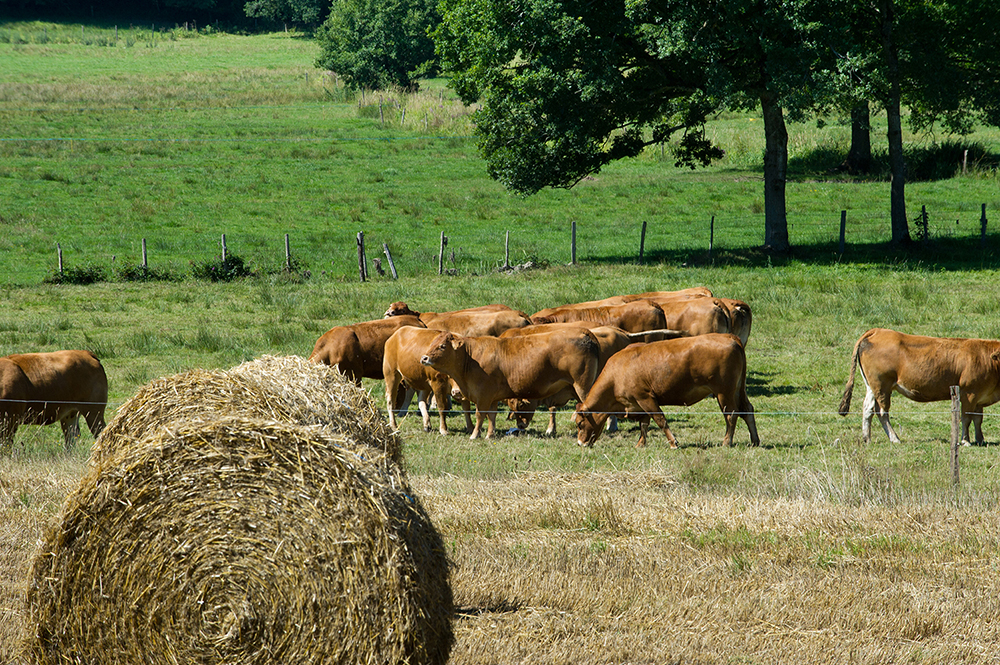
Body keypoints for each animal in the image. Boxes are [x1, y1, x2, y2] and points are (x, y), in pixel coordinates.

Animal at [419, 328, 601, 439]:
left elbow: (480, 415)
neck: (470, 358)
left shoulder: (483, 395)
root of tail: (584, 332)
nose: (424, 358)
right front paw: (490, 435)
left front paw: (475, 435)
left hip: (582, 386)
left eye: (442, 346)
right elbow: (492, 416)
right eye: (432, 343)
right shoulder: (492, 397)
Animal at [573, 334, 760, 449]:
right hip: (738, 389)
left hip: (724, 392)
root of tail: (728, 336)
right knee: (747, 410)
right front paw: (641, 443)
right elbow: (644, 424)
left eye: (580, 424)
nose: (580, 443)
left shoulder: (645, 398)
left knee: (731, 415)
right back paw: (755, 440)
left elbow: (660, 420)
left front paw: (673, 442)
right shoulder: (639, 403)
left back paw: (727, 441)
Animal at [838, 328, 1000, 445]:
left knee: (868, 408)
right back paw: (894, 438)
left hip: (872, 386)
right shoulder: (969, 393)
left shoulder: (979, 397)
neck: (988, 359)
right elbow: (966, 418)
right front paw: (965, 441)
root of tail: (877, 331)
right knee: (882, 412)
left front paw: (980, 440)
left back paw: (867, 438)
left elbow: (978, 419)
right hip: (882, 385)